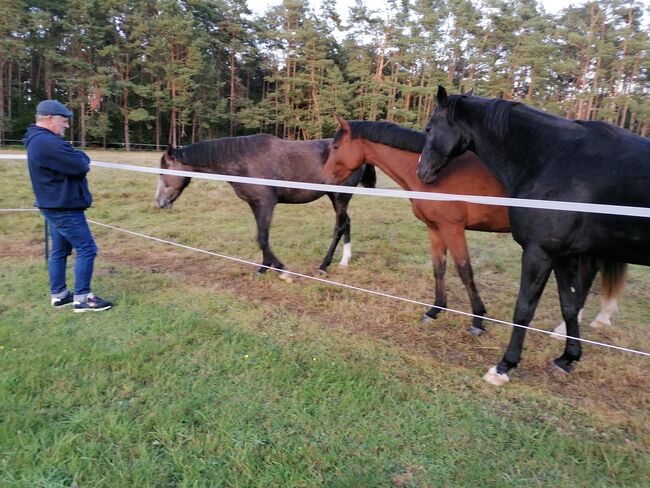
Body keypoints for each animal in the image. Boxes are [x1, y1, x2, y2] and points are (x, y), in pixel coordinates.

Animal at [154, 133, 374, 280]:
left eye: (163, 173)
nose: (160, 202)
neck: (243, 161)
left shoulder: (266, 204)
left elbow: (262, 238)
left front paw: (282, 271)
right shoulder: (255, 204)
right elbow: (261, 237)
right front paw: (264, 268)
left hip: (340, 196)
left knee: (339, 227)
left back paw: (323, 266)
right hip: (337, 198)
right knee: (346, 223)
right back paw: (344, 261)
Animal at [322, 116, 620, 334]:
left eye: (335, 147)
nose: (324, 179)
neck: (432, 174)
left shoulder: (453, 229)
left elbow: (465, 270)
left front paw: (477, 319)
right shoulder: (435, 229)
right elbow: (439, 269)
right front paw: (435, 310)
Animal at [418, 86, 644, 386]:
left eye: (429, 128)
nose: (422, 172)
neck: (555, 160)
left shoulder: (540, 252)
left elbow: (524, 308)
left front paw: (504, 366)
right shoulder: (564, 255)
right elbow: (568, 304)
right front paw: (567, 358)